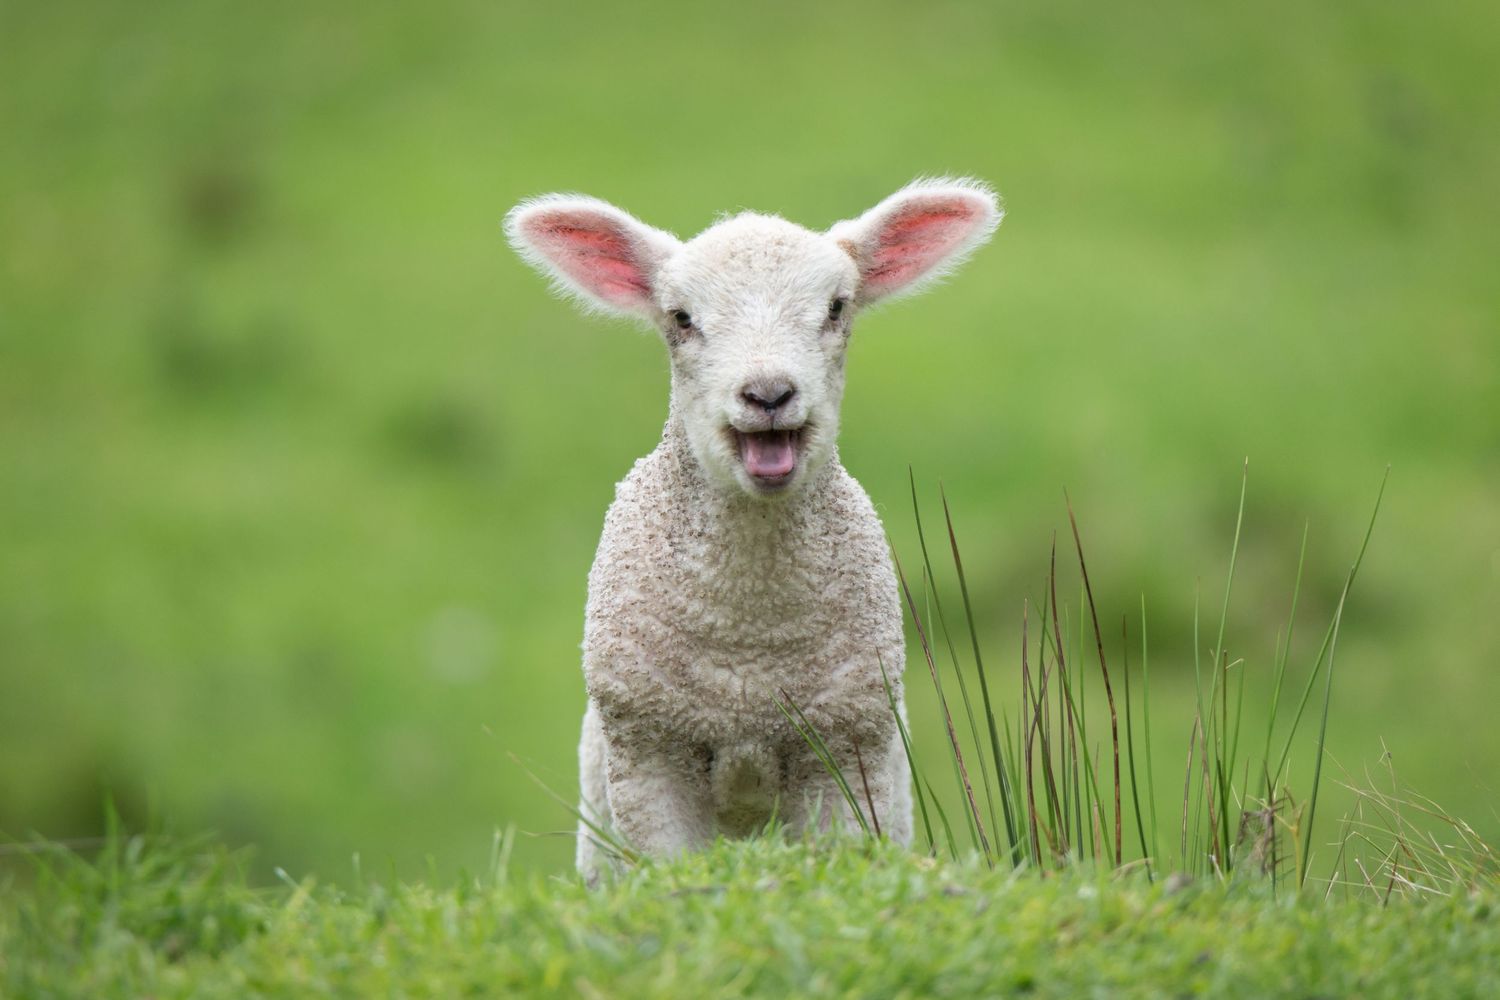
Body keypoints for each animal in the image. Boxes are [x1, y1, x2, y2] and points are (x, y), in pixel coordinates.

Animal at [504, 178, 1002, 881]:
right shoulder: (648, 745)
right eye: (681, 319)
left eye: (837, 307)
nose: (768, 394)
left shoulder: (847, 743)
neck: (748, 638)